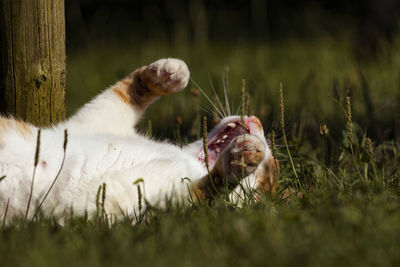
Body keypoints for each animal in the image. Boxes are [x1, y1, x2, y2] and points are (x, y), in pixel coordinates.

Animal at [0, 58, 278, 224]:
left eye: (267, 170)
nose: (258, 120)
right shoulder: (94, 120)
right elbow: (125, 92)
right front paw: (167, 73)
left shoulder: (159, 209)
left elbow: (210, 189)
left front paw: (241, 159)